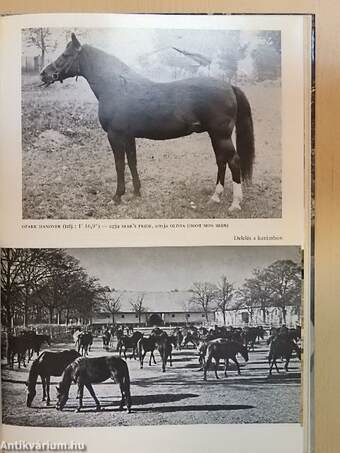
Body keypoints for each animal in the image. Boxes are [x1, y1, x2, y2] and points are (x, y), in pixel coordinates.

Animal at [40, 31, 255, 212]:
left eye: (65, 55)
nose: (44, 74)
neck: (118, 86)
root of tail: (229, 86)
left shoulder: (115, 136)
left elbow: (119, 164)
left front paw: (117, 197)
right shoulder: (128, 136)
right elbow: (132, 162)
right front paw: (136, 192)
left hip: (220, 135)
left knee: (233, 161)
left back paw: (235, 204)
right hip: (215, 135)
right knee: (221, 161)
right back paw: (215, 197)